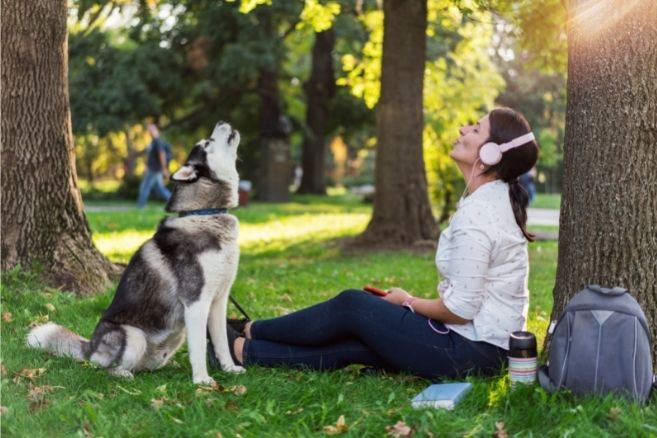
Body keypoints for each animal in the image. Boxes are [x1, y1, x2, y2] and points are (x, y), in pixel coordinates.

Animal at [27, 120, 243, 384]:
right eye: (207, 143)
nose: (221, 122)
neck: (206, 214)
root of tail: (90, 346)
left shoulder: (219, 301)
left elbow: (221, 342)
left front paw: (230, 368)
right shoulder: (196, 302)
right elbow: (200, 345)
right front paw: (202, 380)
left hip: (173, 337)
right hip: (133, 336)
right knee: (108, 368)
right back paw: (123, 374)